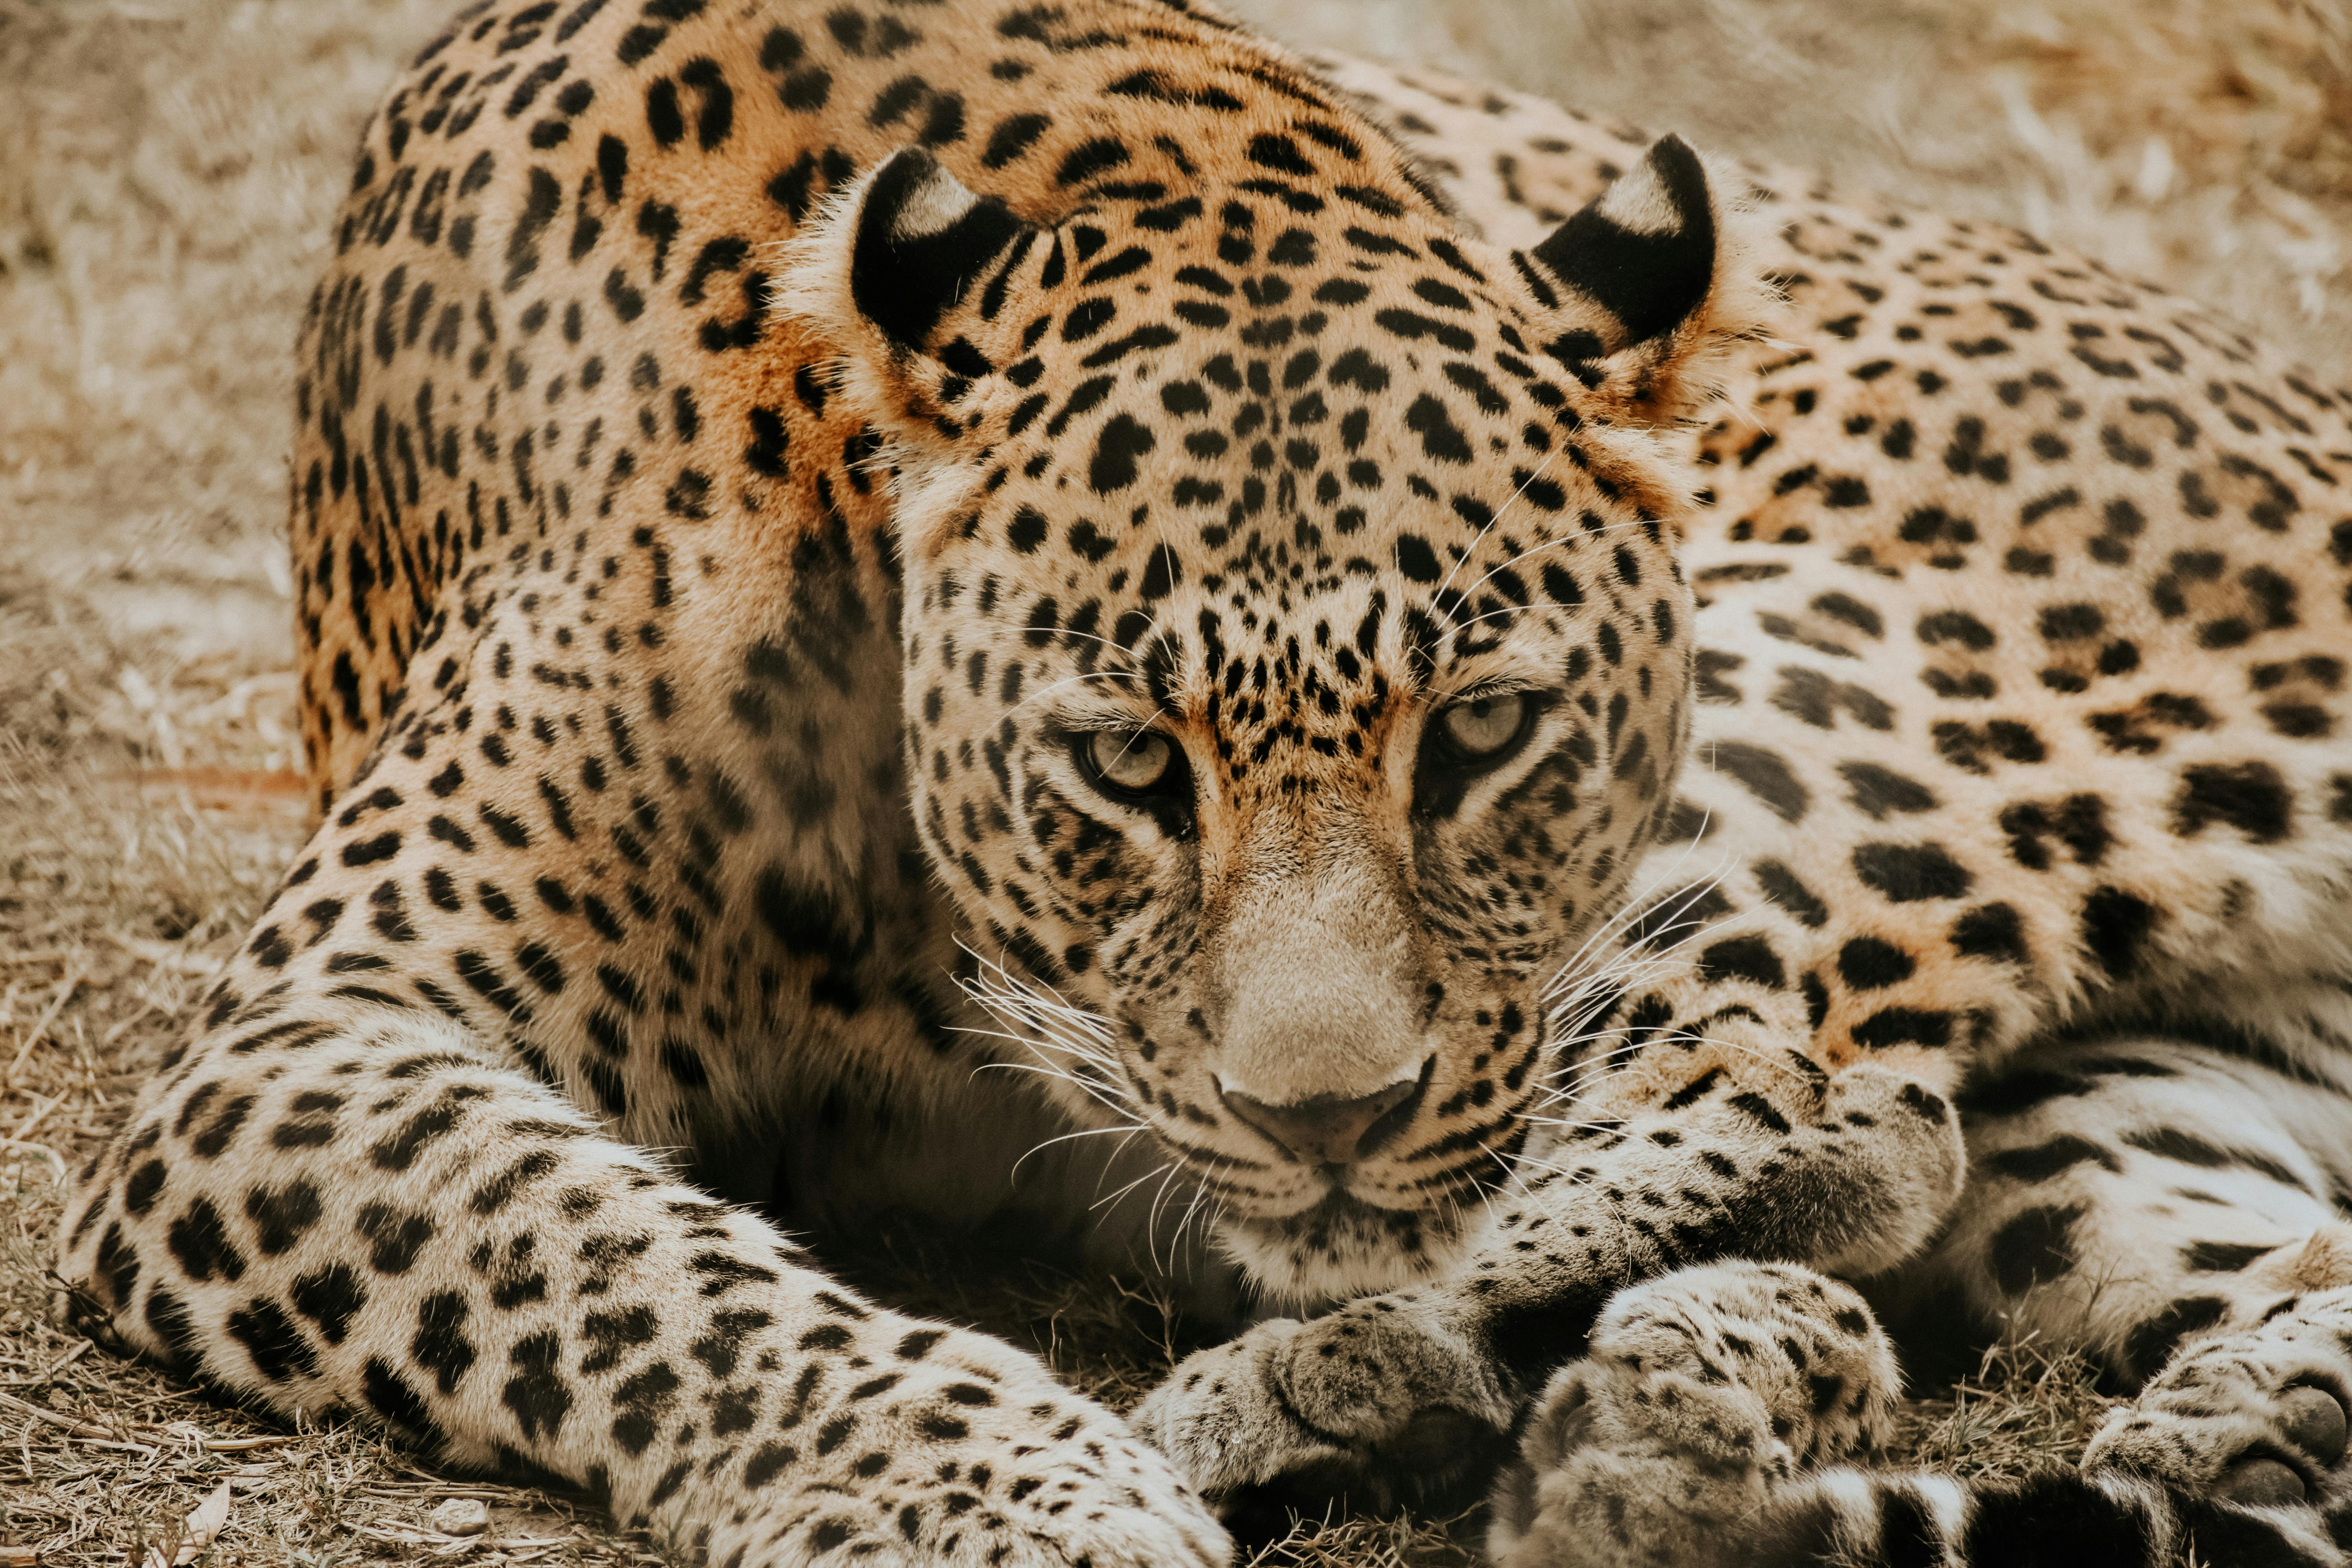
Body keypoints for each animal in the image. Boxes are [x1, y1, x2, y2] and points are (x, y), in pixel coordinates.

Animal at [41, 0, 2352, 1563]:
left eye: (1481, 729)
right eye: (1127, 761)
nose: (1328, 1116)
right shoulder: (300, 1047)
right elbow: (627, 1273)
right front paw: (1028, 1489)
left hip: (1847, 702)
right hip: (2129, 1092)